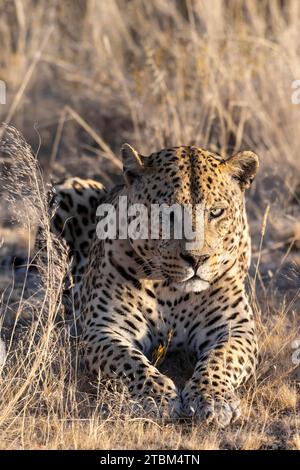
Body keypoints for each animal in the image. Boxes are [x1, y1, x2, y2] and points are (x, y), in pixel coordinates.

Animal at [47, 143, 258, 426]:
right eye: (168, 214)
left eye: (216, 212)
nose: (197, 258)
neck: (171, 290)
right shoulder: (104, 329)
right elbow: (130, 362)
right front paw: (156, 398)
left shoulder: (235, 328)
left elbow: (221, 359)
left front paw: (211, 398)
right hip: (67, 189)